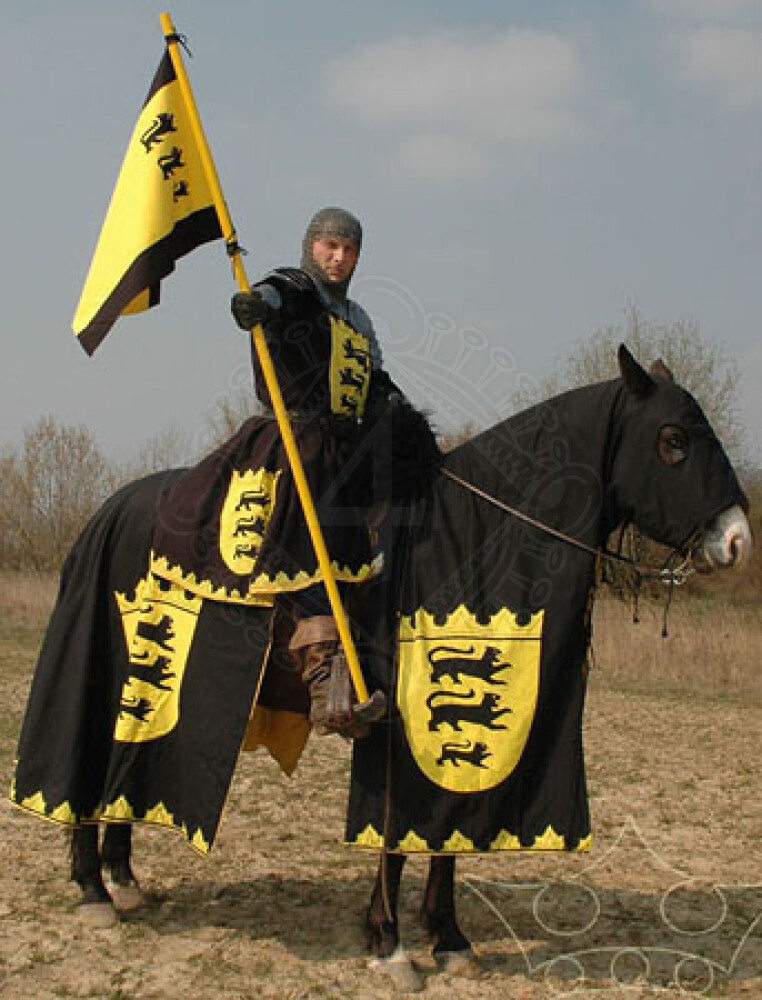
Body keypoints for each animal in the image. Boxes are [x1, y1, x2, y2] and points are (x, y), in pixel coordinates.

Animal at [10, 347, 751, 988]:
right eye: (673, 441)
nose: (737, 540)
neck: (475, 531)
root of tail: (106, 512)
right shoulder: (399, 729)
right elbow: (396, 840)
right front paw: (391, 944)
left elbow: (448, 835)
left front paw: (449, 940)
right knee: (84, 765)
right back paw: (92, 889)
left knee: (127, 768)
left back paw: (124, 879)